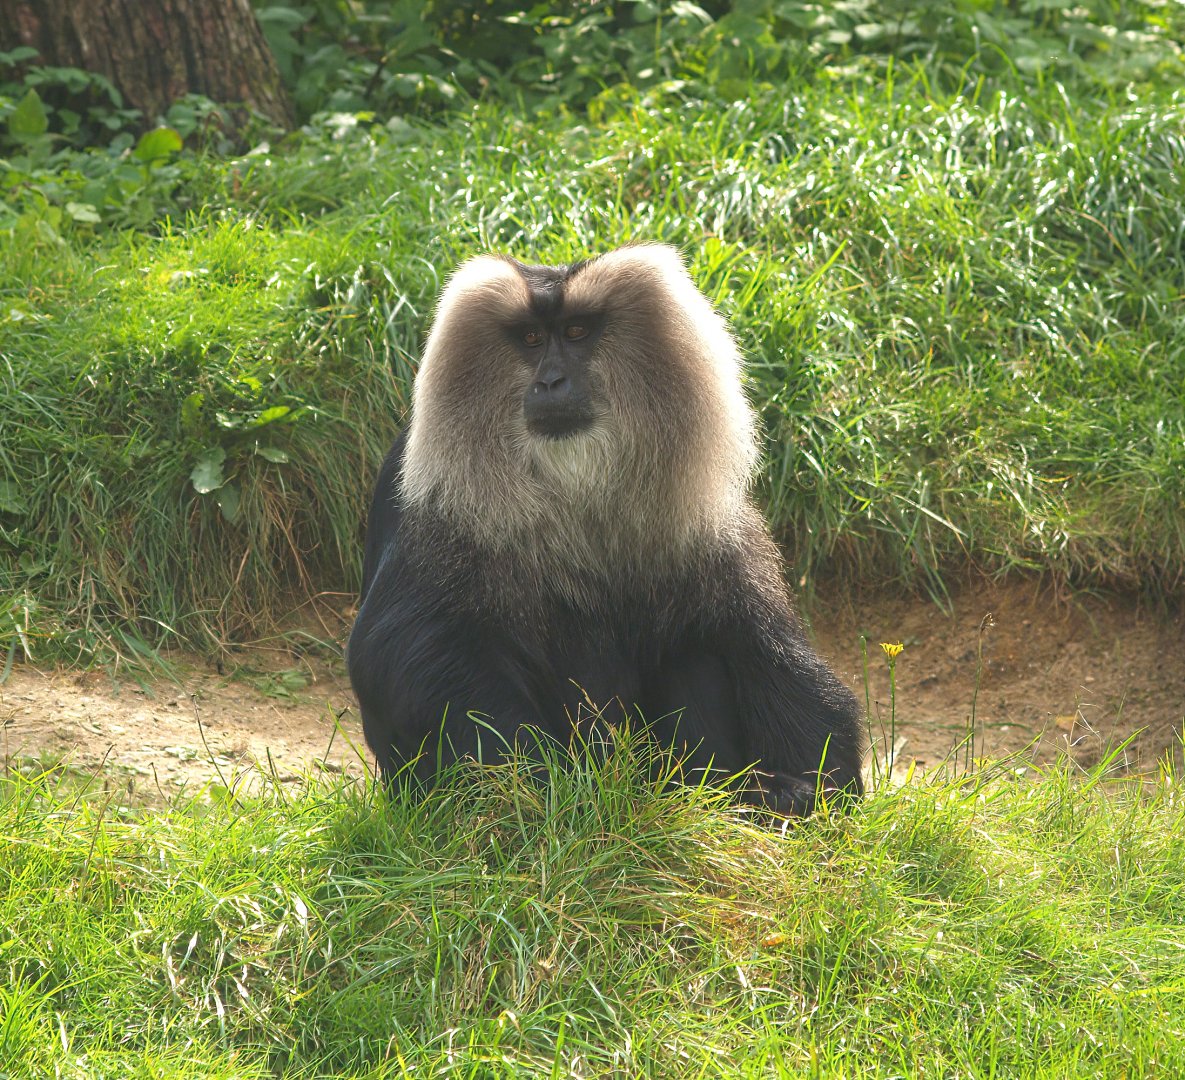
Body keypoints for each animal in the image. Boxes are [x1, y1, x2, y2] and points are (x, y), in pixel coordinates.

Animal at [347, 244, 865, 815]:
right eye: (531, 338)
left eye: (576, 332)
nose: (550, 382)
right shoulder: (431, 509)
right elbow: (404, 654)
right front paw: (546, 791)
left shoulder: (709, 529)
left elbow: (767, 646)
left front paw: (810, 785)